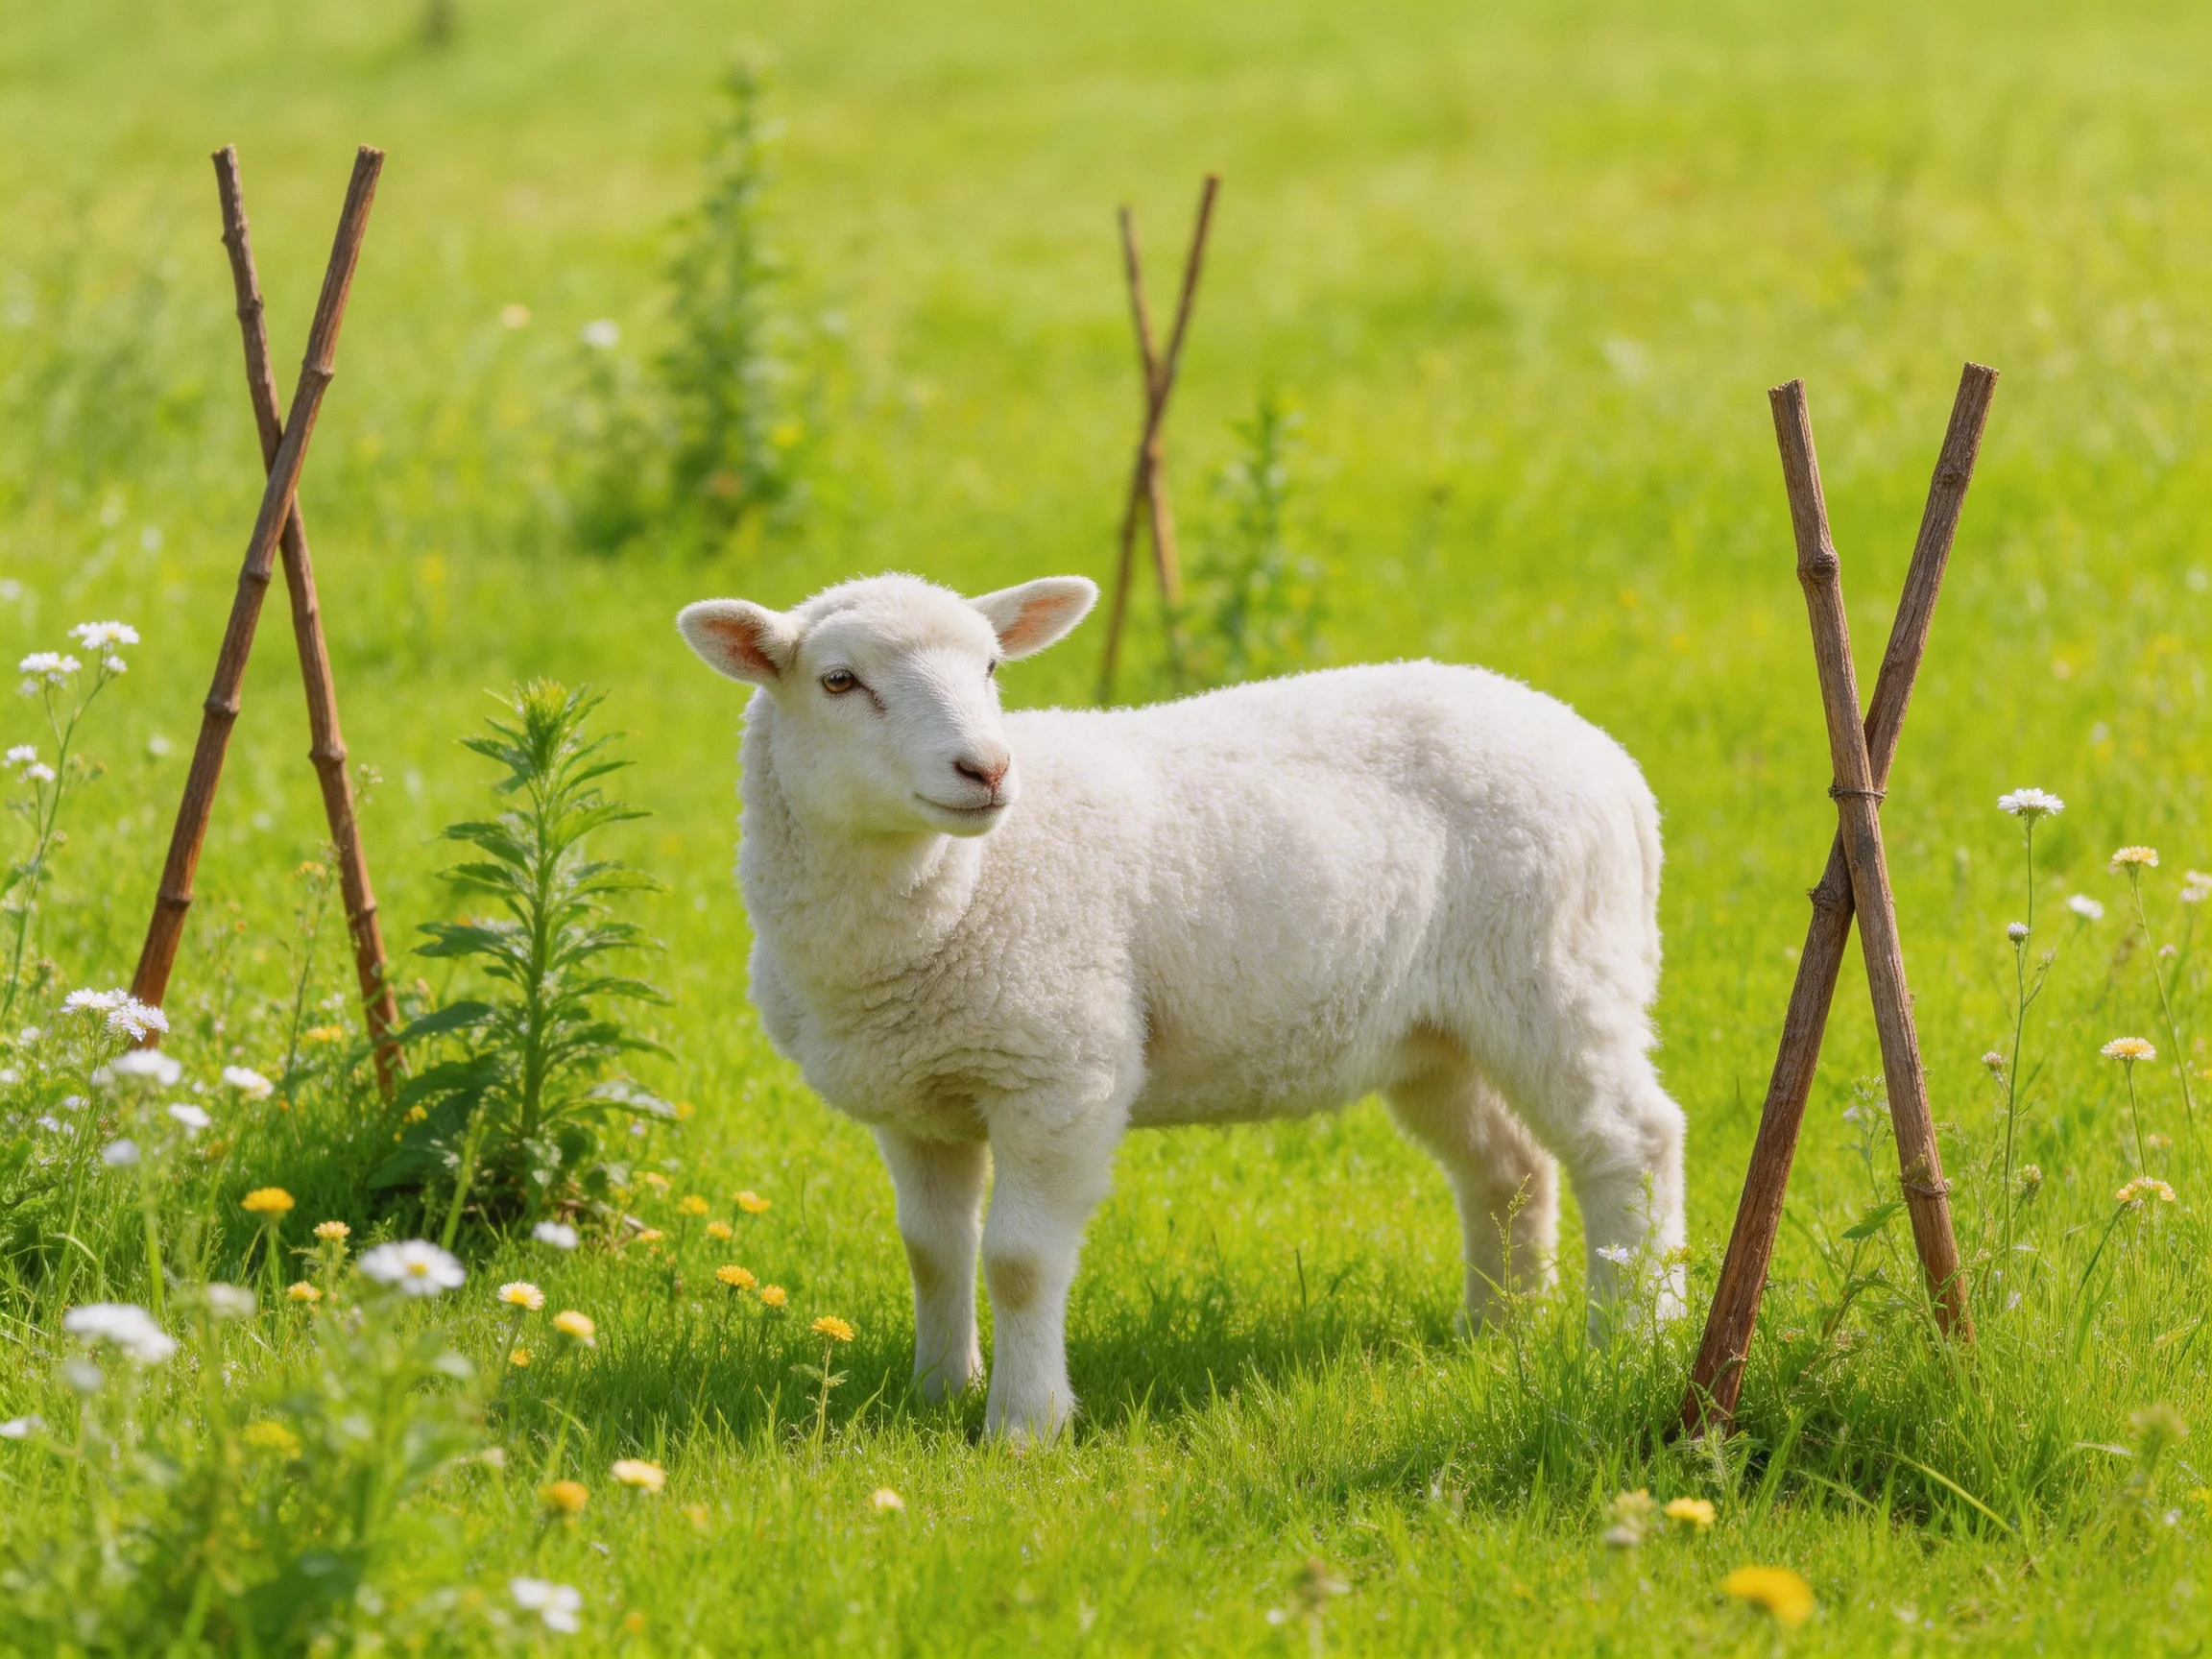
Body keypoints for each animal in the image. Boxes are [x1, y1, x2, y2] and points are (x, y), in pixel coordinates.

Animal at [676, 571, 1686, 1441]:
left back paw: (1636, 1336)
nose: (987, 770)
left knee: (1631, 1144)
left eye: (992, 668)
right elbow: (934, 1250)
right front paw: (938, 1393)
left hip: (1560, 972)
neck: (950, 895)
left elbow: (1018, 1262)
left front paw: (1023, 1427)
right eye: (839, 681)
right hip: (1432, 1029)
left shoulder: (1063, 1076)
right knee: (1509, 1168)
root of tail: (1609, 760)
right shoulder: (916, 1095)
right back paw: (1497, 1334)